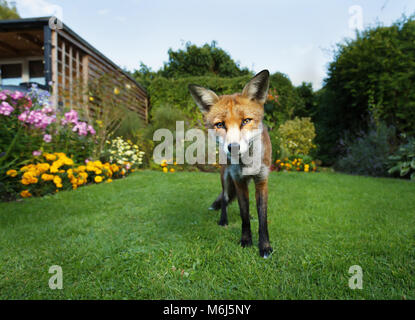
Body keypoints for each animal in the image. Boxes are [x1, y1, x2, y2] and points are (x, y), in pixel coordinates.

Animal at [188, 70, 272, 258]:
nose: (233, 148)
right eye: (220, 124)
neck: (247, 163)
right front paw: (246, 241)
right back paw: (223, 220)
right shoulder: (238, 181)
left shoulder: (261, 180)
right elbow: (244, 215)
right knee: (225, 200)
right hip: (226, 180)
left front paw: (265, 246)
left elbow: (262, 218)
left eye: (246, 121)